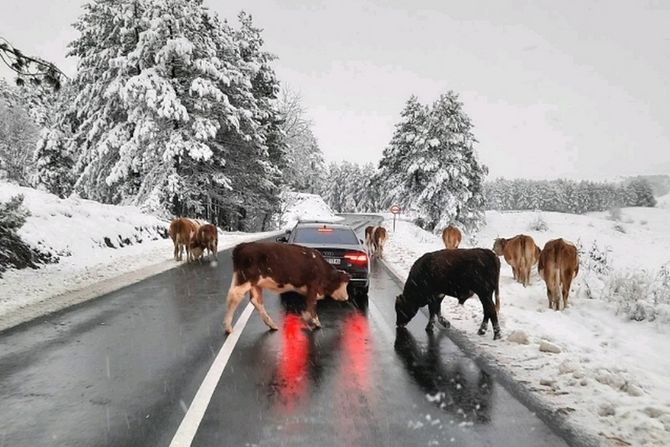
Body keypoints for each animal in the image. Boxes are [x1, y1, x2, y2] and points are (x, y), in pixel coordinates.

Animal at [224, 243, 354, 334]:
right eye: (344, 284)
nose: (346, 297)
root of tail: (243, 245)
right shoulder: (313, 285)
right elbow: (312, 304)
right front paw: (312, 320)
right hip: (248, 279)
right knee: (235, 295)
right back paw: (228, 327)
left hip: (253, 283)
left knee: (256, 300)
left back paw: (271, 324)